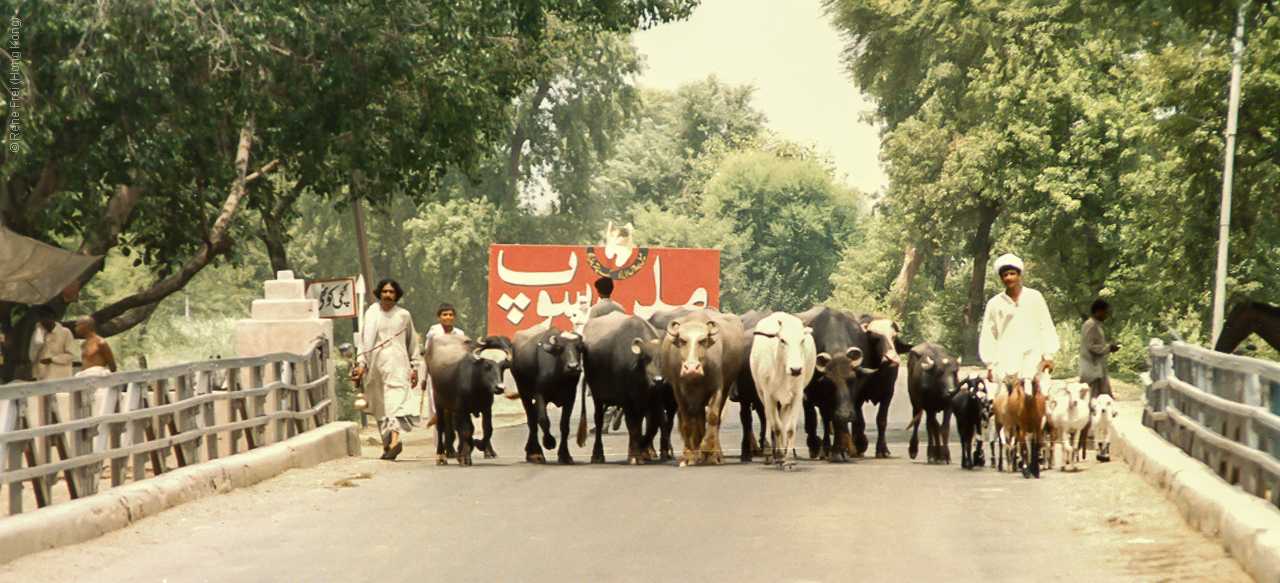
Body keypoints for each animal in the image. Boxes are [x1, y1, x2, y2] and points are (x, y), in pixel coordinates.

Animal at [660, 310, 747, 466]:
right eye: (681, 340)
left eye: (703, 340)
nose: (691, 368)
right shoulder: (679, 392)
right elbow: (688, 424)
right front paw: (688, 456)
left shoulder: (718, 387)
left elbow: (712, 416)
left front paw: (707, 447)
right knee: (698, 421)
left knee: (714, 421)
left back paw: (714, 455)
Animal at [747, 312, 819, 471]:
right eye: (782, 340)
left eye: (802, 340)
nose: (796, 369)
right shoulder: (768, 395)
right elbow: (777, 426)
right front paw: (779, 456)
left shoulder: (797, 395)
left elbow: (789, 428)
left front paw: (789, 459)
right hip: (761, 392)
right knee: (769, 417)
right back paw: (769, 453)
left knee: (784, 419)